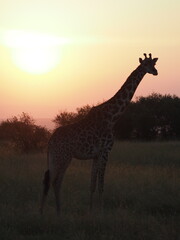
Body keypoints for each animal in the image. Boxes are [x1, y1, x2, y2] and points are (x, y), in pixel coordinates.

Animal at [40, 53, 158, 215]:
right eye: (147, 64)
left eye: (154, 64)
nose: (155, 72)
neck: (112, 116)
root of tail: (50, 140)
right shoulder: (105, 151)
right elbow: (101, 184)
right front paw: (101, 211)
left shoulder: (96, 155)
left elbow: (92, 184)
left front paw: (91, 210)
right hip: (64, 157)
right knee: (55, 181)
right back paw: (56, 213)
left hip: (55, 157)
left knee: (49, 179)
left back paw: (47, 212)